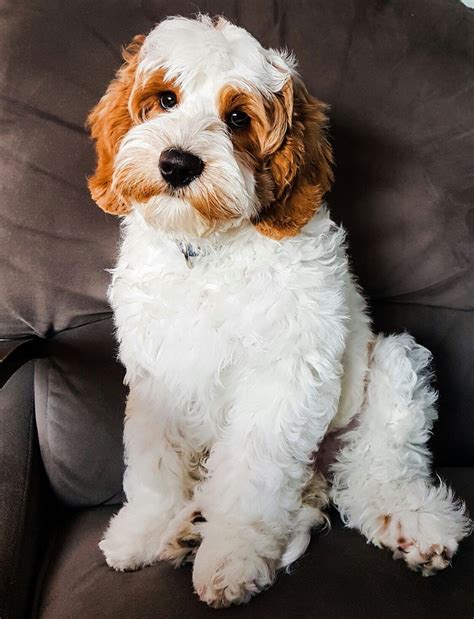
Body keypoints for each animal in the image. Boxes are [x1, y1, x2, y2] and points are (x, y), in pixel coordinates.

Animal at [86, 14, 470, 612]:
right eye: (166, 98)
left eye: (238, 117)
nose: (177, 163)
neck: (210, 252)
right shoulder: (156, 374)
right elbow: (152, 460)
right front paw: (143, 529)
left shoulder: (283, 377)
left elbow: (252, 477)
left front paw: (231, 558)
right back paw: (186, 529)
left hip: (393, 362)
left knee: (375, 472)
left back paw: (413, 524)